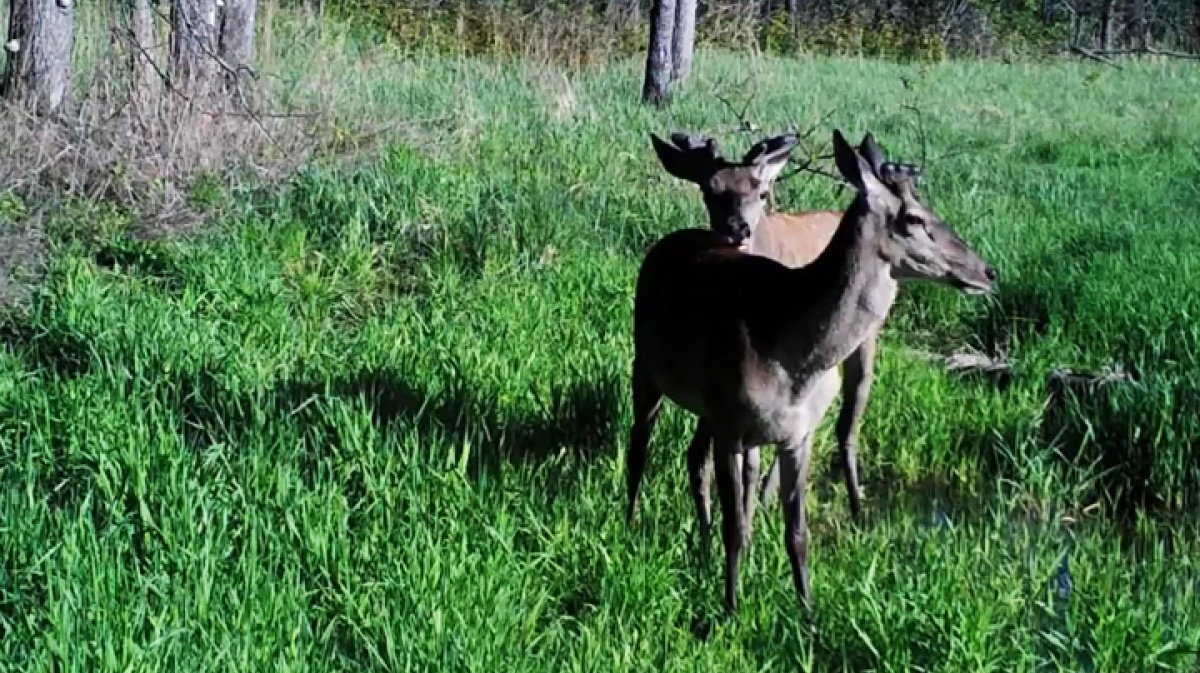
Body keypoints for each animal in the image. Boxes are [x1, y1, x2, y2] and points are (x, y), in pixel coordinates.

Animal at [628, 128, 993, 611]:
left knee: (704, 459)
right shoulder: (730, 426)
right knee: (639, 445)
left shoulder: (796, 434)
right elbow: (734, 528)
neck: (792, 358)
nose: (987, 271)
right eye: (914, 218)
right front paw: (730, 608)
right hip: (646, 366)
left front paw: (807, 612)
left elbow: (796, 533)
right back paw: (626, 521)